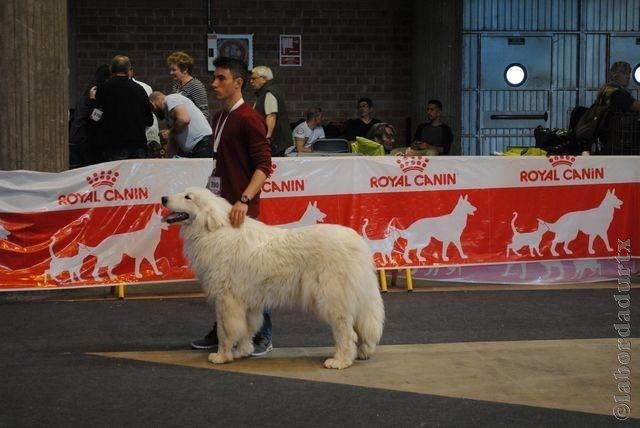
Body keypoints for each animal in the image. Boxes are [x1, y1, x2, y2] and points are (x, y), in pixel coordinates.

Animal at [161, 187, 384, 368]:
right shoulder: (247, 300)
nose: (163, 198)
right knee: (363, 328)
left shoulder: (226, 299)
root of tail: (358, 242)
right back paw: (363, 353)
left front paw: (222, 356)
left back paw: (340, 361)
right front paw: (243, 351)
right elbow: (247, 328)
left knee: (347, 332)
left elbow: (225, 331)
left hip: (332, 299)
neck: (214, 232)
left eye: (188, 197)